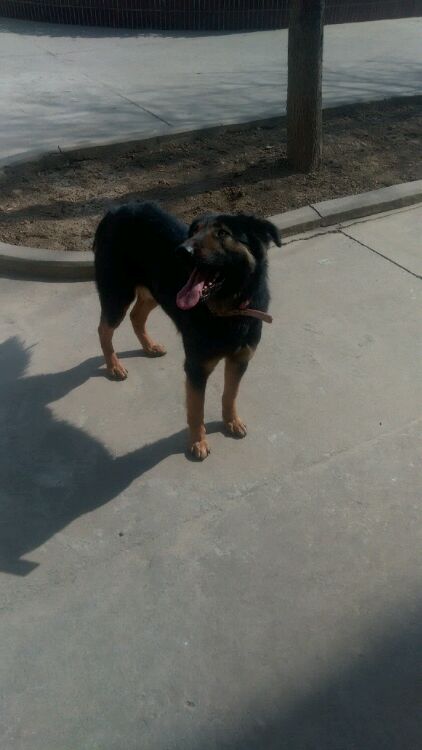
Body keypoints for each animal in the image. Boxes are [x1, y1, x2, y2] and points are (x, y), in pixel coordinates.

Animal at [93, 202, 281, 459]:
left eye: (222, 233)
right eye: (194, 231)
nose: (181, 251)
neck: (228, 309)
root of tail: (116, 209)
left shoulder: (240, 359)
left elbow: (230, 394)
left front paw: (231, 421)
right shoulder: (196, 367)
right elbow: (196, 409)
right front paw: (198, 442)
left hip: (155, 293)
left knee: (136, 316)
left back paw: (149, 346)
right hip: (117, 295)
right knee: (104, 329)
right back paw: (113, 365)